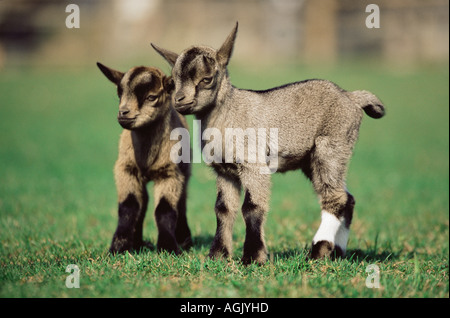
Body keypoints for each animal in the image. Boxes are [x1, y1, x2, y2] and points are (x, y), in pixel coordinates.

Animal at [96, 63, 192, 255]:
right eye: (119, 94)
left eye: (151, 97)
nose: (123, 113)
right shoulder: (126, 169)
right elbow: (129, 206)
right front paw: (119, 246)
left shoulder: (169, 173)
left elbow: (165, 210)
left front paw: (168, 247)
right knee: (143, 202)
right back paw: (138, 243)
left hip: (184, 171)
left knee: (181, 202)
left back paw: (184, 239)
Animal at [151, 22, 384, 264]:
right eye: (173, 81)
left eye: (207, 79)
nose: (179, 101)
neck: (229, 112)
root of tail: (351, 97)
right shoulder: (224, 171)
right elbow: (223, 209)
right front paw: (218, 255)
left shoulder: (253, 165)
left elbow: (252, 207)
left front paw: (253, 257)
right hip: (312, 160)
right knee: (347, 198)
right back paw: (336, 252)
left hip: (332, 146)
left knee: (335, 197)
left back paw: (318, 251)